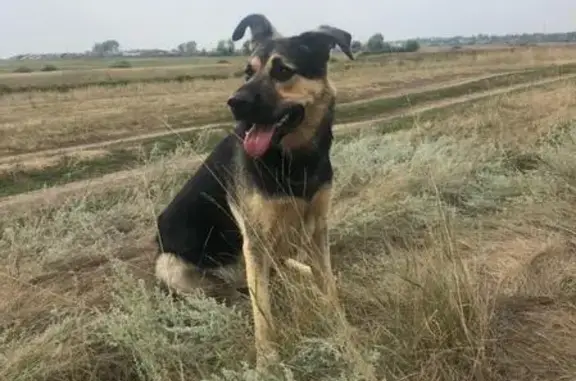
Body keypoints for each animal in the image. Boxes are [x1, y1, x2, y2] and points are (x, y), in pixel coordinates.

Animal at [153, 14, 354, 368]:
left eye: (283, 70)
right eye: (248, 72)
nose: (234, 103)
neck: (292, 160)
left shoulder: (318, 228)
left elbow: (327, 285)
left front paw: (341, 327)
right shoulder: (256, 241)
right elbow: (264, 315)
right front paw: (269, 361)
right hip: (170, 264)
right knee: (228, 292)